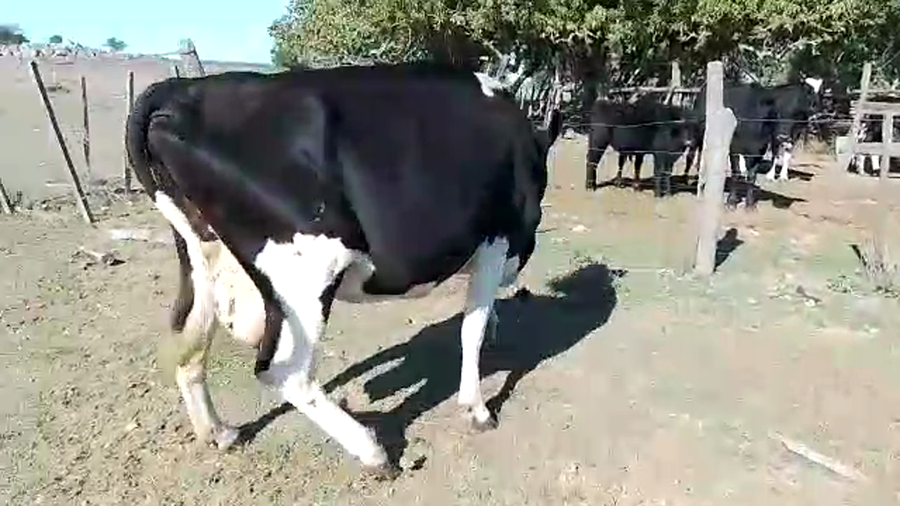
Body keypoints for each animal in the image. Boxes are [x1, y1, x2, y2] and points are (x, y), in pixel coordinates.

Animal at [124, 61, 562, 479]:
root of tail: (183, 90)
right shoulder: (495, 241)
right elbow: (472, 328)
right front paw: (477, 408)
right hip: (307, 272)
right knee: (284, 370)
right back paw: (373, 451)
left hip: (203, 257)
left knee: (188, 346)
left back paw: (220, 432)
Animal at [683, 78, 822, 209]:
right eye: (776, 112)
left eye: (797, 114)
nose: (783, 137)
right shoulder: (735, 147)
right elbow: (736, 173)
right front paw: (731, 202)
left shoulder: (760, 149)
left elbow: (752, 176)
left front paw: (750, 204)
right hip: (699, 135)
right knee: (694, 155)